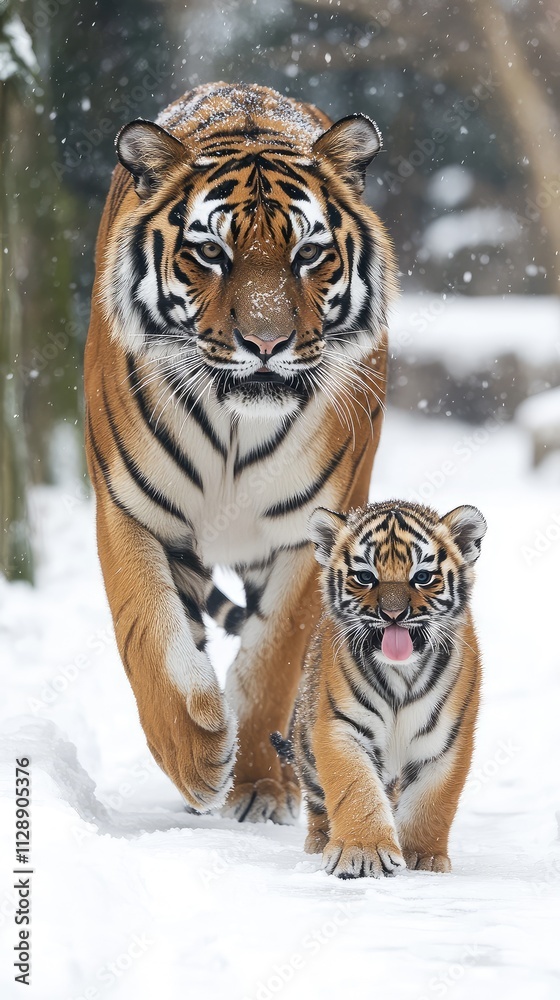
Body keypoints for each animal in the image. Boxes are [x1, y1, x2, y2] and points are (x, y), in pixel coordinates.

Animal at [84, 82, 397, 822]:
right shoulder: (130, 511)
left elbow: (272, 660)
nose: (265, 342)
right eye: (211, 254)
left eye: (308, 255)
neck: (235, 424)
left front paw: (255, 783)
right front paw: (196, 754)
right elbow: (151, 633)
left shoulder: (309, 531)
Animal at [271, 499, 486, 876]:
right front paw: (361, 851)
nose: (393, 614)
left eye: (422, 577)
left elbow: (431, 803)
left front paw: (424, 858)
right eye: (365, 576)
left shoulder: (446, 741)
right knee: (317, 798)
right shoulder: (342, 727)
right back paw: (320, 840)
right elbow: (355, 789)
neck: (402, 674)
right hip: (306, 745)